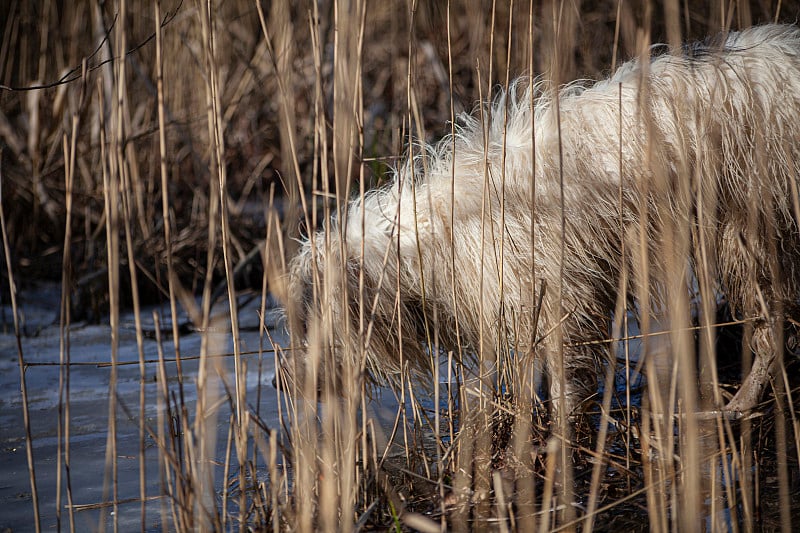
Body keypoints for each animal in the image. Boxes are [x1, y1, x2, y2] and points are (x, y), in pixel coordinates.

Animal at [286, 23, 800, 416]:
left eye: (313, 322)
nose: (284, 383)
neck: (430, 237)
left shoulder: (561, 299)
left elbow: (566, 381)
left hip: (748, 227)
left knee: (771, 325)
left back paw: (738, 405)